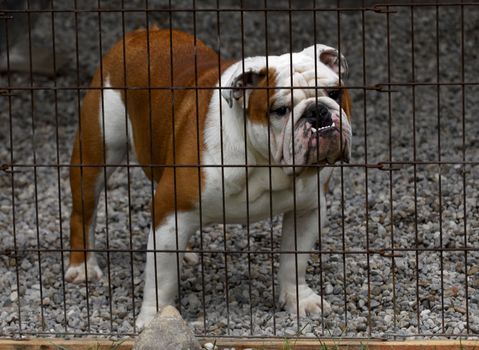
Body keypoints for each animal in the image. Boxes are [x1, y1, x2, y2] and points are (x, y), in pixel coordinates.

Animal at [64, 26, 352, 328]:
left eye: (335, 92)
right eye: (280, 110)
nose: (318, 112)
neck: (265, 162)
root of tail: (142, 33)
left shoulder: (306, 210)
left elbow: (294, 261)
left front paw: (299, 299)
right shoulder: (169, 209)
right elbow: (161, 279)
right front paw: (155, 316)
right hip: (96, 153)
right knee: (82, 214)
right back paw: (82, 267)